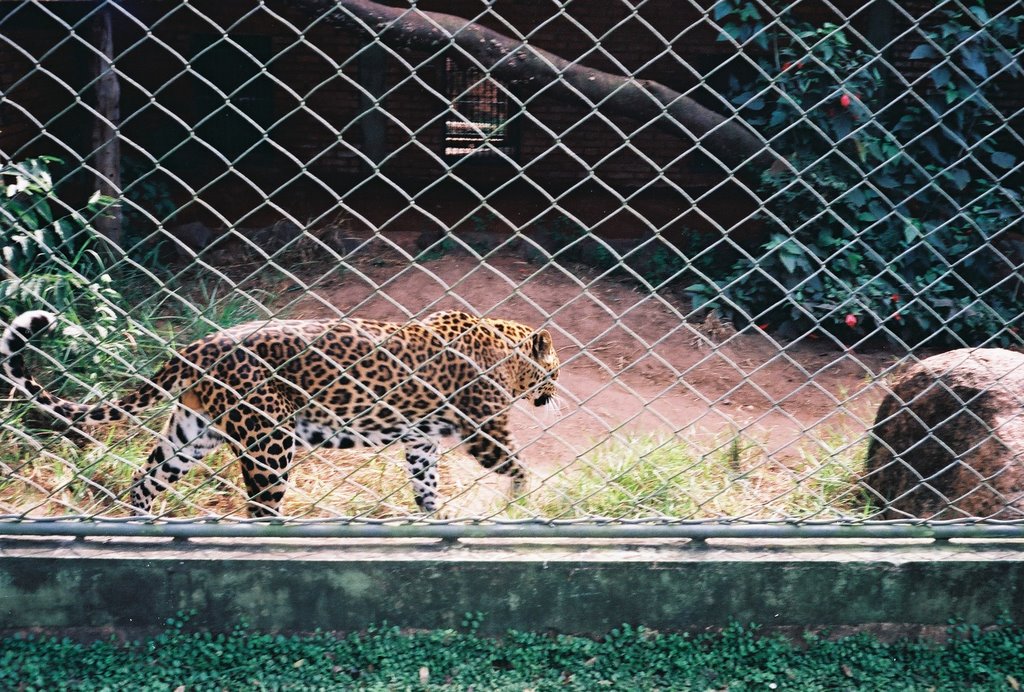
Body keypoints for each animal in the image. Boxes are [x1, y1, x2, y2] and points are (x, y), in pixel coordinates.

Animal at [0, 309, 561, 513]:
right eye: (555, 372)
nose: (555, 392)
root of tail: (195, 346)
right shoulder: (484, 428)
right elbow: (515, 465)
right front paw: (522, 501)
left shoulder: (420, 438)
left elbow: (426, 482)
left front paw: (433, 518)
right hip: (269, 439)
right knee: (260, 504)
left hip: (192, 432)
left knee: (145, 479)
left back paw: (141, 526)